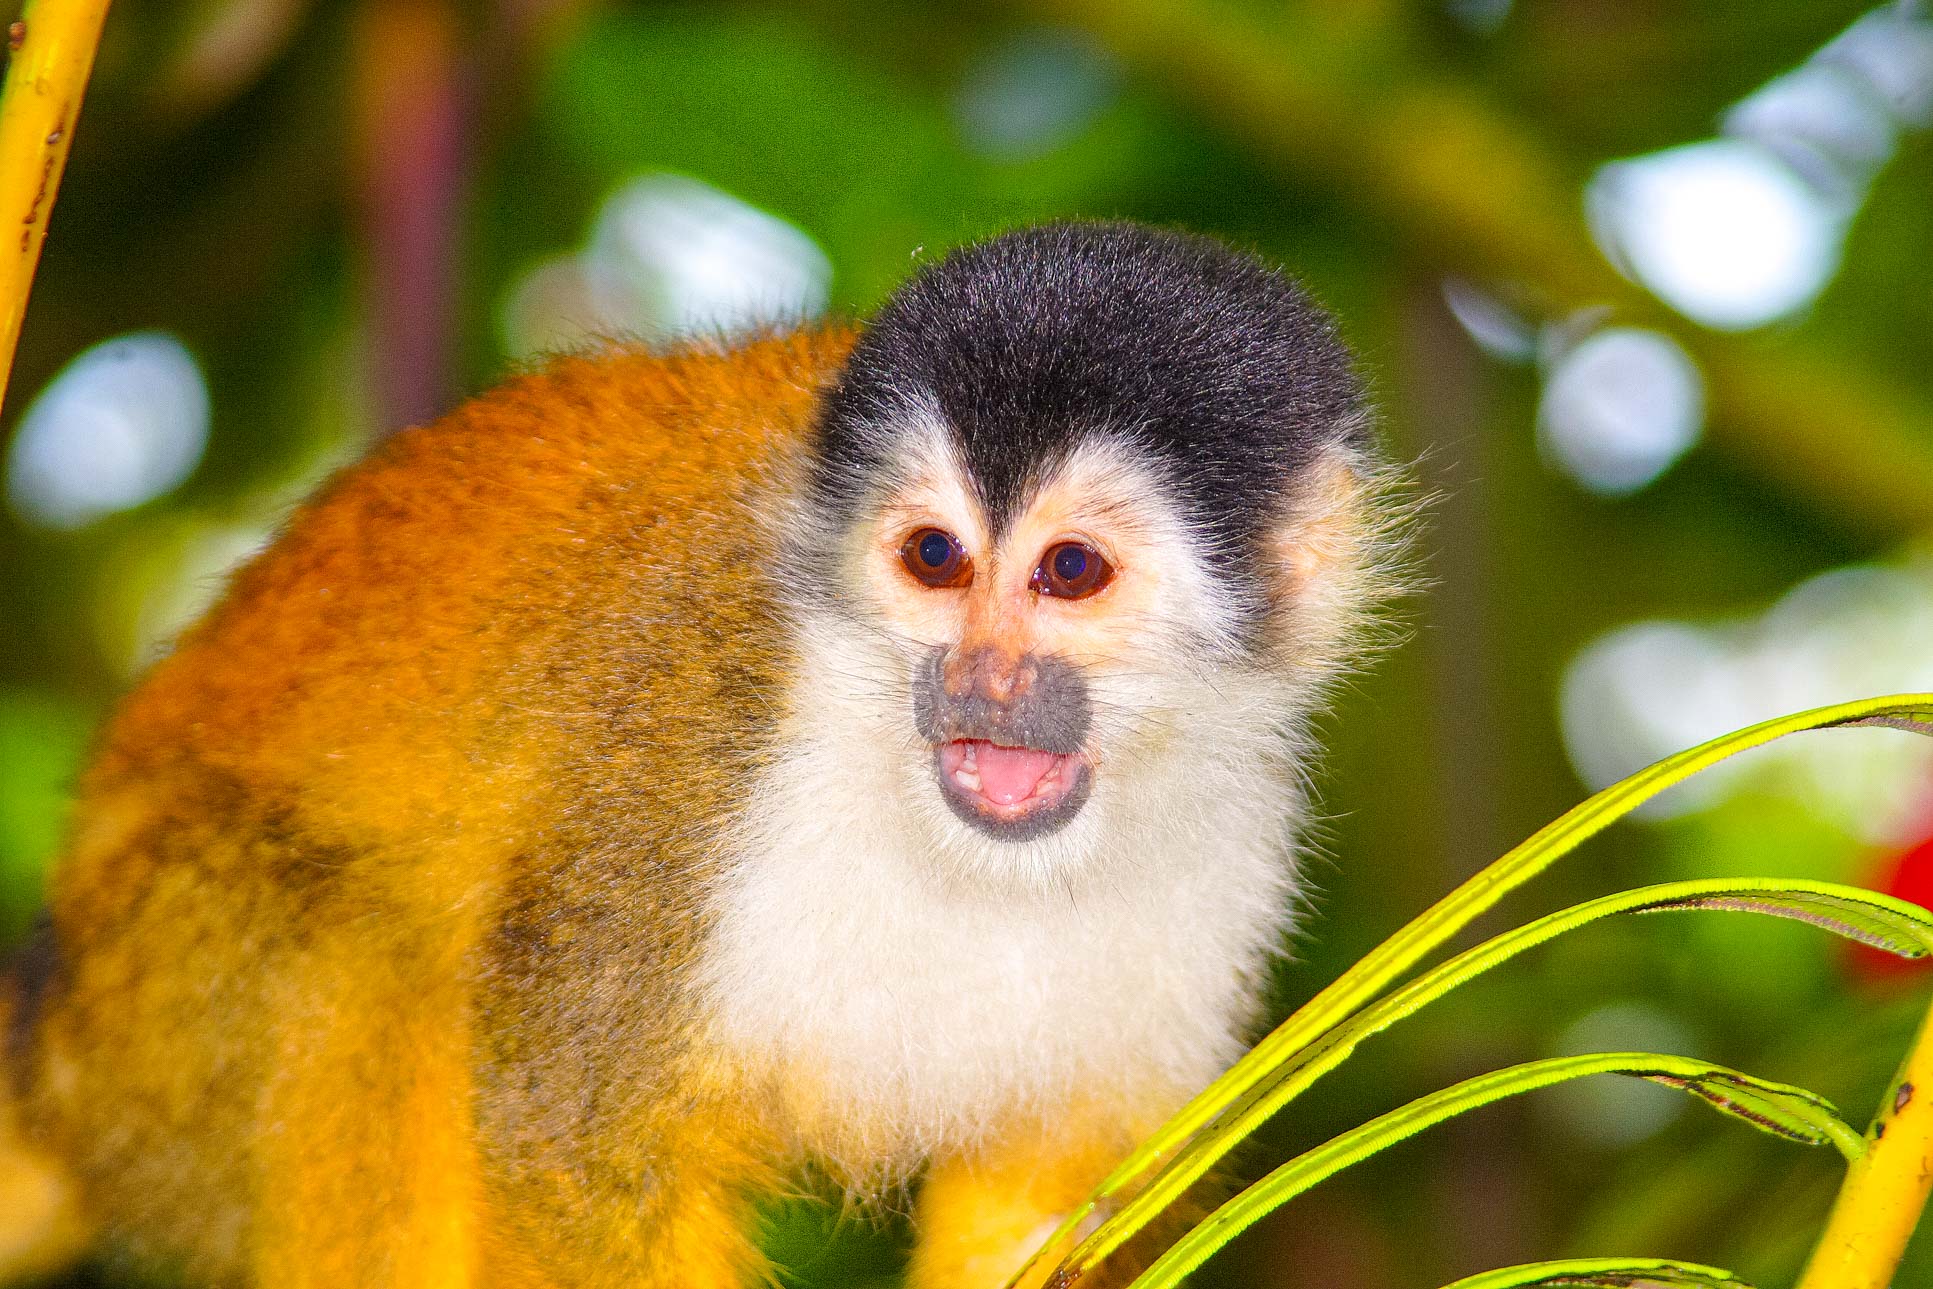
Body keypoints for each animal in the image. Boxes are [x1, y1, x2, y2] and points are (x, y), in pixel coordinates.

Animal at [0, 221, 1400, 1288]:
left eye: (1069, 571)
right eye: (934, 558)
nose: (983, 678)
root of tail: (54, 1005)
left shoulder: (1237, 844)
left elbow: (1042, 1196)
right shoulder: (693, 728)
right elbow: (571, 1128)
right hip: (153, 1034)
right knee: (339, 934)